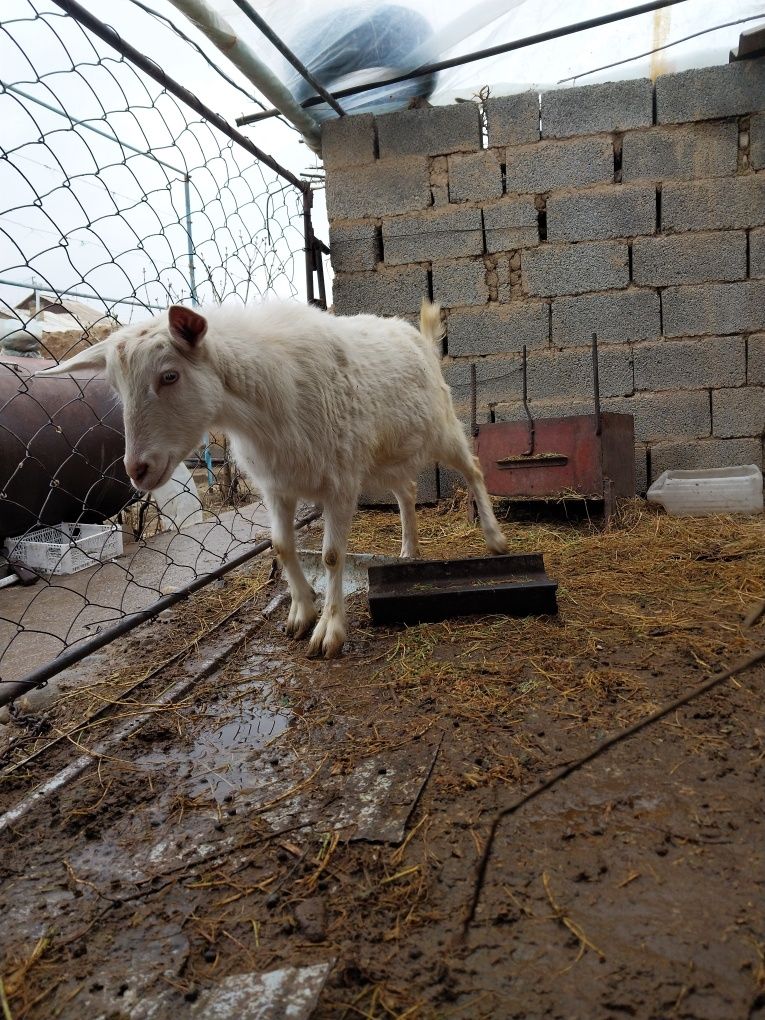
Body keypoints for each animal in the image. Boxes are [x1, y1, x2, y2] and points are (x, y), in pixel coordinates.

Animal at [41, 297, 510, 656]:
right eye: (116, 389)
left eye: (169, 375)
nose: (137, 469)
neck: (263, 408)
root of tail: (421, 341)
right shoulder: (276, 486)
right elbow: (282, 546)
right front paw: (301, 612)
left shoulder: (340, 482)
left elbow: (332, 556)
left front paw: (329, 631)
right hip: (384, 453)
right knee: (407, 490)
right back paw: (409, 550)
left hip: (440, 427)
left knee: (473, 470)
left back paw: (495, 538)